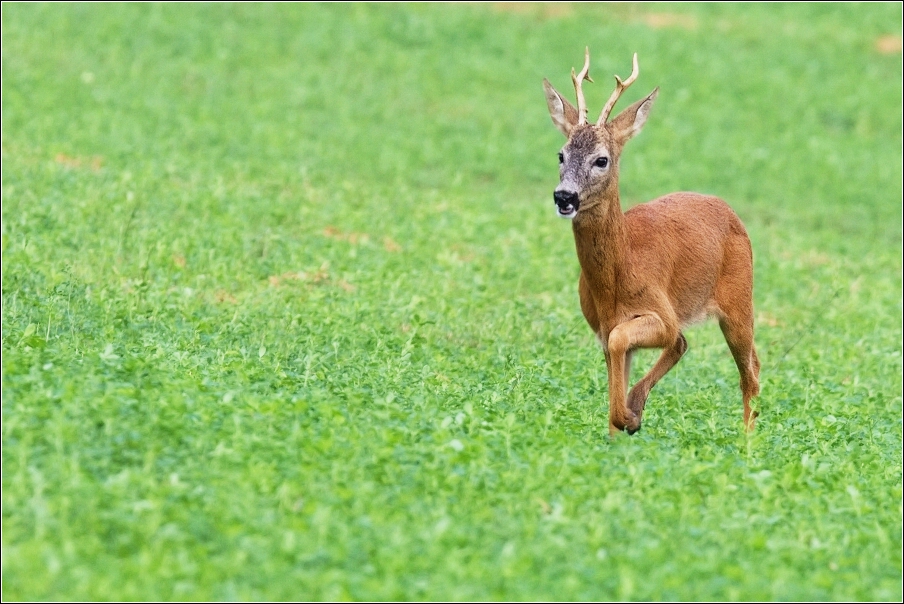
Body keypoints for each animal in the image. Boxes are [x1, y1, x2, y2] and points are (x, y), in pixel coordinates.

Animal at [544, 48, 764, 434]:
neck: (615, 281)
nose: (564, 196)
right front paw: (624, 421)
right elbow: (615, 379)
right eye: (561, 154)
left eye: (602, 159)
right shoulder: (604, 329)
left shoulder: (660, 311)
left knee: (749, 369)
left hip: (739, 299)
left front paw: (631, 413)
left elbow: (649, 339)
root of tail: (730, 212)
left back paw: (747, 439)